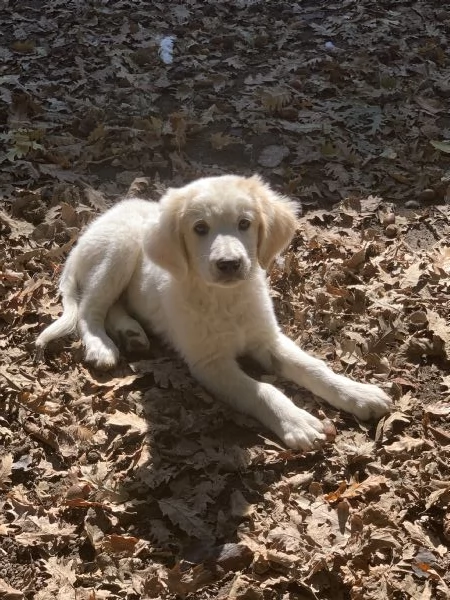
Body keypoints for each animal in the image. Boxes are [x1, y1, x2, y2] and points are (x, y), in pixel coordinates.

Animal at [37, 176, 392, 448]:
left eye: (245, 224)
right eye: (200, 228)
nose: (229, 264)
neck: (225, 299)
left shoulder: (267, 339)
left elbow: (314, 367)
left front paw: (357, 393)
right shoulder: (209, 362)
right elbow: (262, 389)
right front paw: (297, 422)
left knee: (114, 305)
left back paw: (131, 332)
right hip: (118, 250)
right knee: (89, 309)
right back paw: (101, 345)